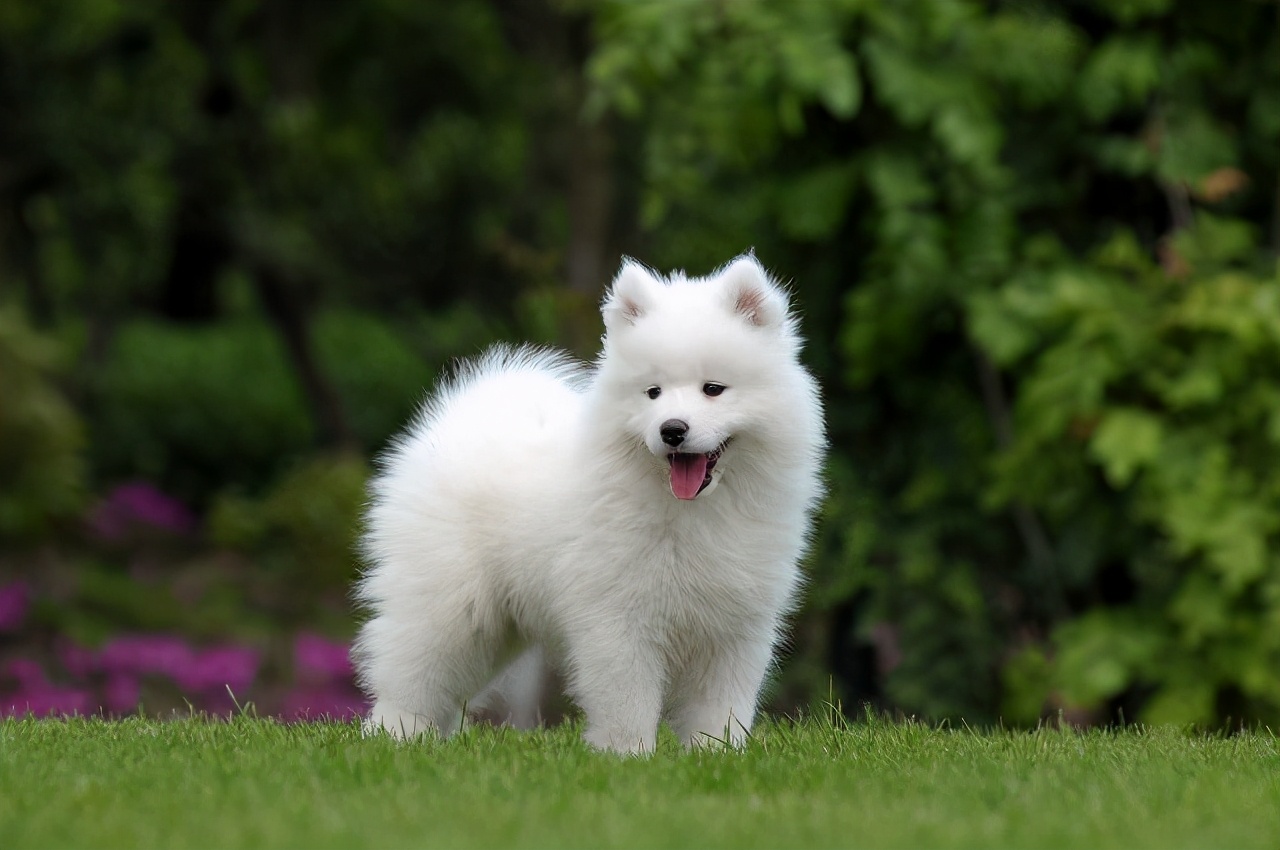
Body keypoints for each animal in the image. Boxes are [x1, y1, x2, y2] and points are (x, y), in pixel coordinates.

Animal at [355, 252, 824, 752]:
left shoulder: (734, 628)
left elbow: (719, 709)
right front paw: (628, 755)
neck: (693, 511)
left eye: (713, 388)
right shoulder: (618, 620)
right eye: (653, 392)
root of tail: (456, 423)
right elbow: (628, 702)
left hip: (498, 627)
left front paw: (715, 755)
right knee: (411, 675)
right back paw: (394, 735)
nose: (672, 430)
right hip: (451, 608)